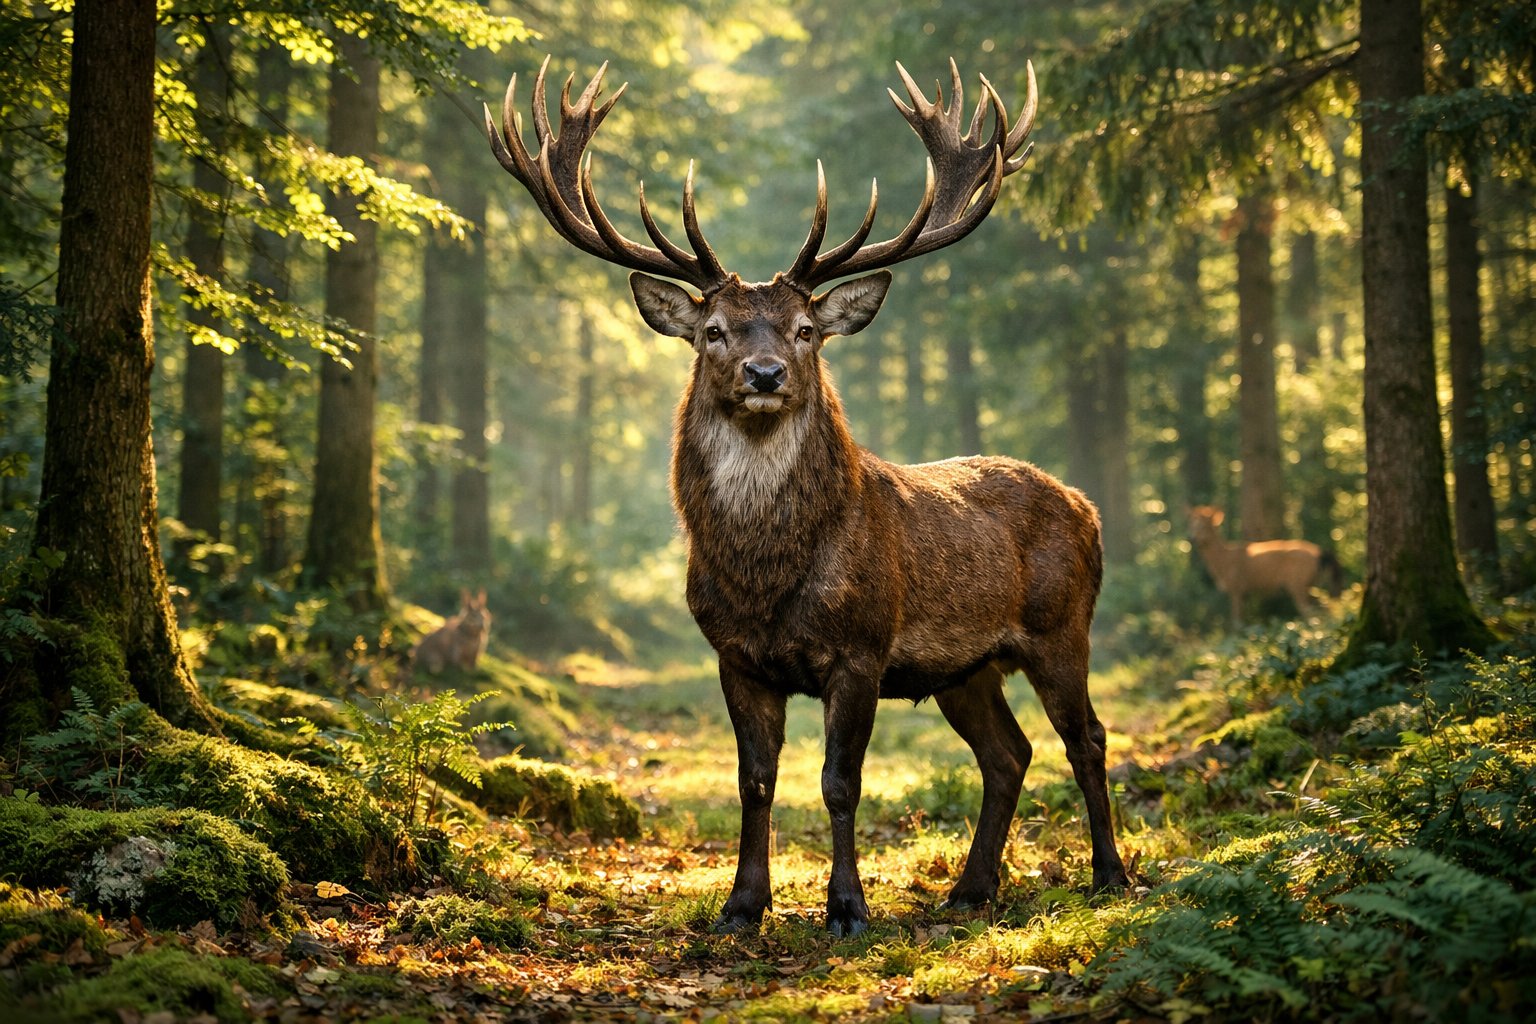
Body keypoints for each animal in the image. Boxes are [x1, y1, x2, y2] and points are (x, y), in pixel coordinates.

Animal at [485, 56, 1129, 936]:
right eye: (713, 331)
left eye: (806, 331)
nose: (764, 375)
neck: (766, 576)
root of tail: (1087, 507)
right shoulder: (733, 655)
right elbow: (756, 781)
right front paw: (742, 905)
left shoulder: (860, 648)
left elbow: (838, 782)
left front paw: (847, 909)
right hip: (965, 667)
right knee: (1009, 752)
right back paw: (970, 889)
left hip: (1063, 627)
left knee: (1087, 739)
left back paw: (1110, 875)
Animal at [1187, 506, 1343, 626]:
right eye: (1192, 525)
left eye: (1204, 526)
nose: (1192, 538)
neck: (1222, 561)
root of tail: (1321, 552)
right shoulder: (1245, 593)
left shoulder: (1236, 588)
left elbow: (1237, 622)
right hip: (1312, 585)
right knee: (1324, 609)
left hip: (1298, 583)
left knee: (1311, 613)